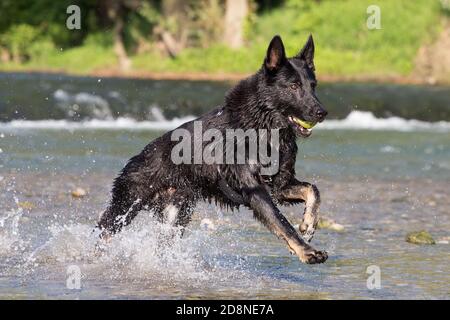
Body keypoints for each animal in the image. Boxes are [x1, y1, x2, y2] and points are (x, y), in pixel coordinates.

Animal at [97, 35, 326, 264]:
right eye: (294, 86)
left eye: (313, 86)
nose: (322, 112)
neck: (262, 126)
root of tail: (135, 158)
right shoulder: (254, 190)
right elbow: (282, 223)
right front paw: (307, 251)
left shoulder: (279, 186)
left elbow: (313, 190)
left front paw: (309, 223)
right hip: (125, 208)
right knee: (103, 232)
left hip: (174, 218)